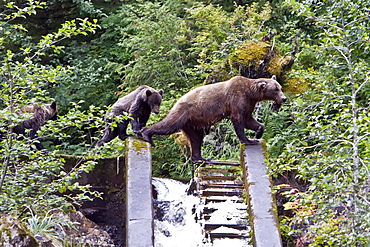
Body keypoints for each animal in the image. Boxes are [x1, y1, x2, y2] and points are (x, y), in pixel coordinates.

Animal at [141, 76, 286, 163]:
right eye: (276, 89)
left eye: (280, 87)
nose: (284, 98)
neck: (251, 93)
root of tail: (178, 101)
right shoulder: (237, 99)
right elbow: (239, 120)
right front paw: (247, 139)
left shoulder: (249, 103)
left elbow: (248, 119)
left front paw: (258, 133)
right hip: (183, 113)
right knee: (169, 125)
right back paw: (146, 133)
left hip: (192, 123)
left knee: (196, 138)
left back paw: (200, 157)